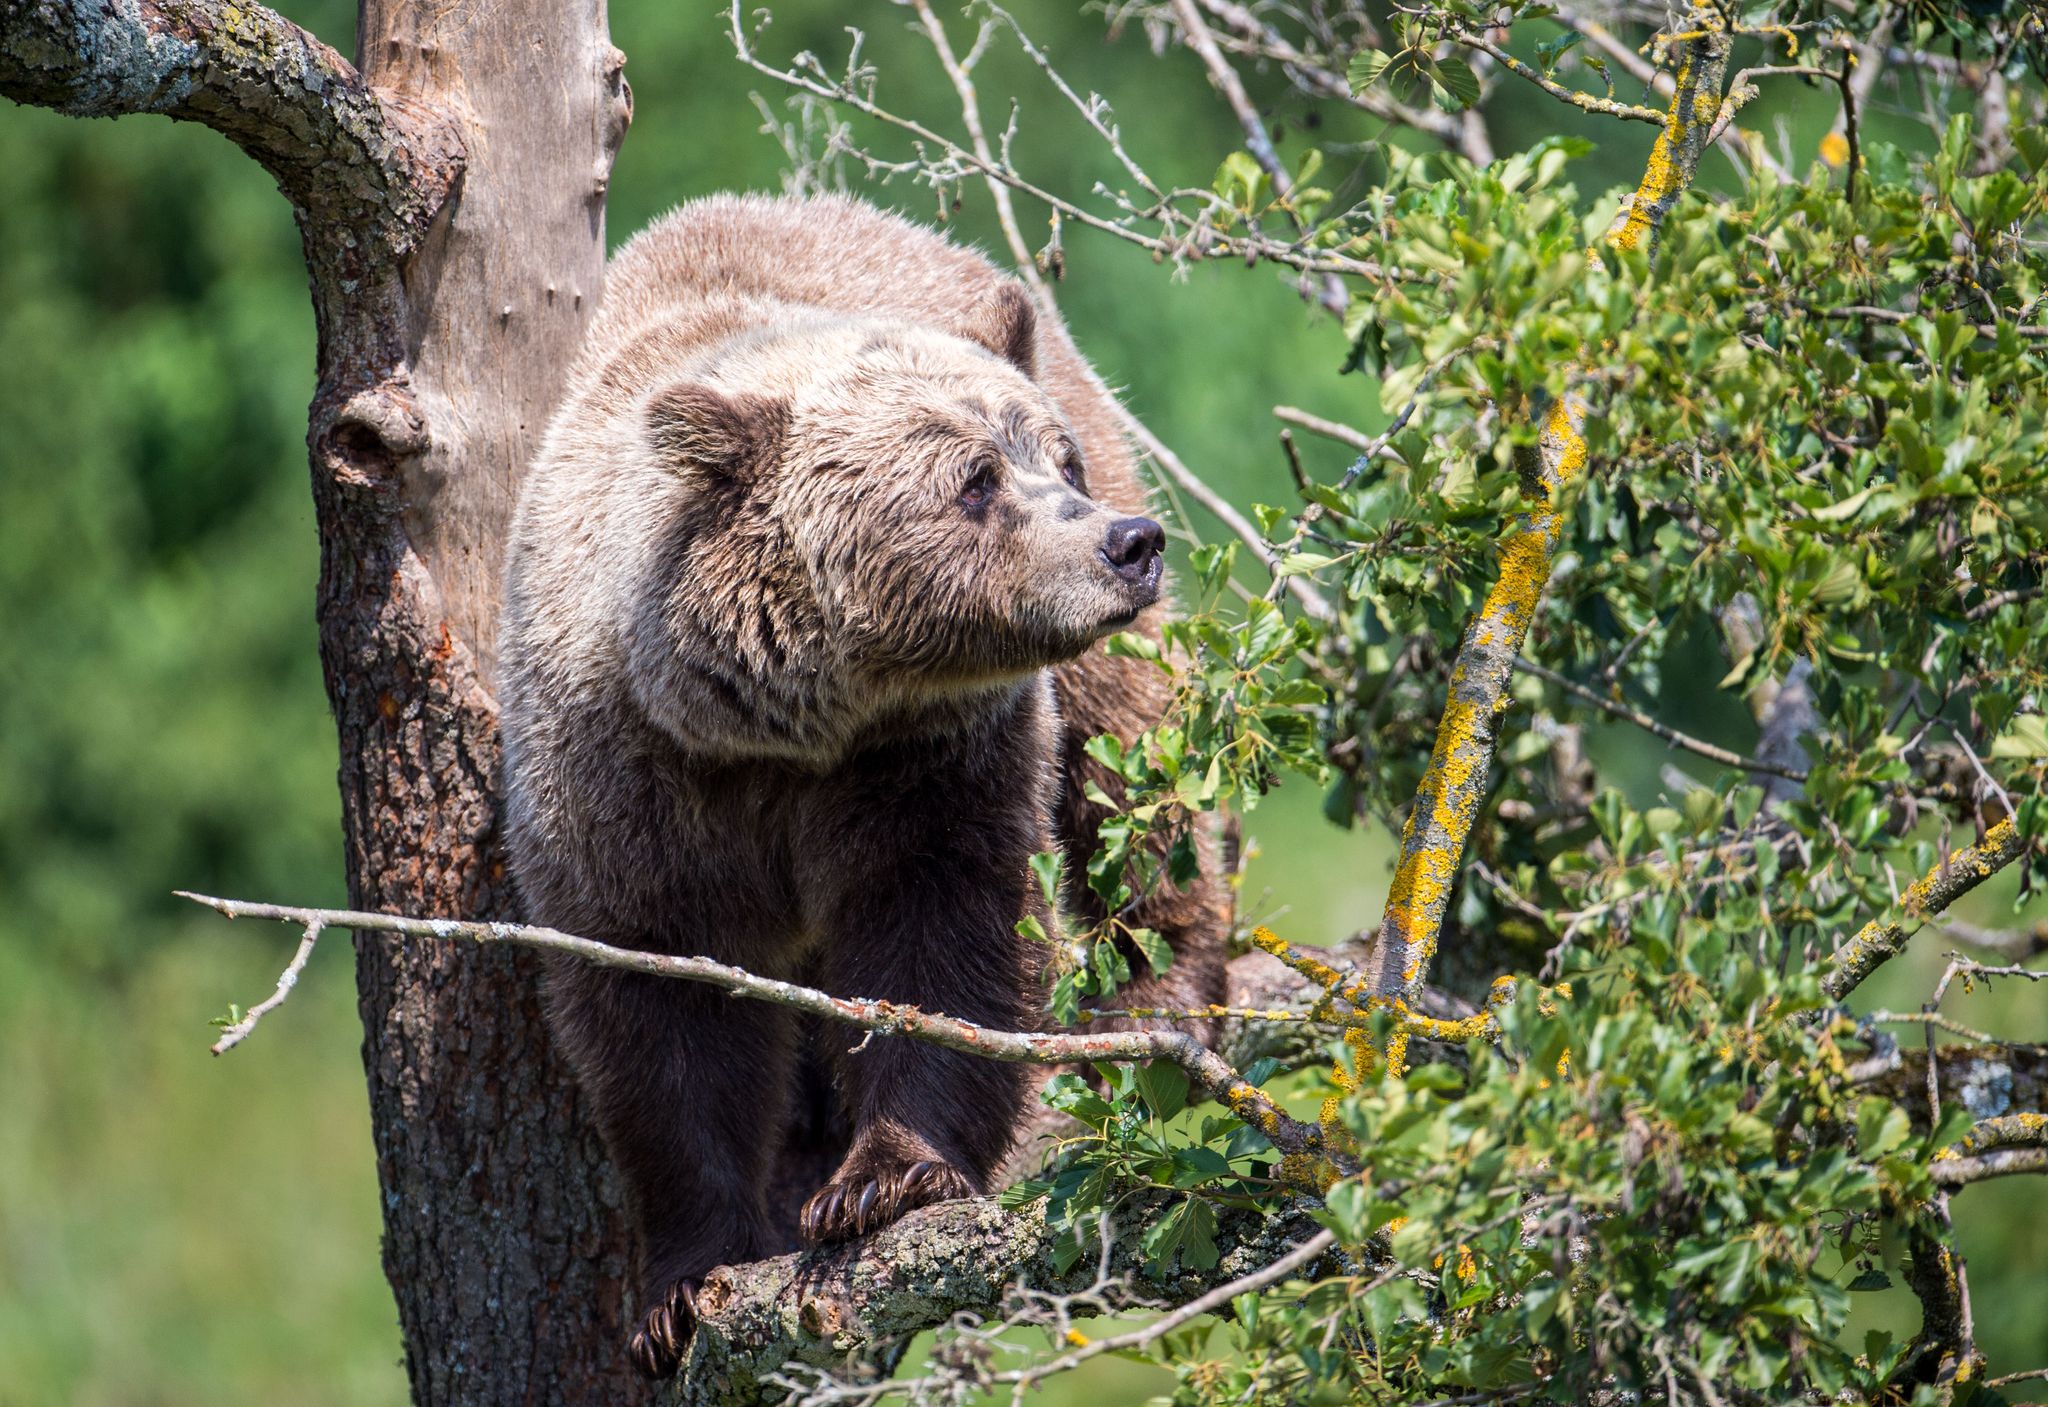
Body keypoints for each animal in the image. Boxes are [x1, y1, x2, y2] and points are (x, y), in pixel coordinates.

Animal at [501, 192, 1220, 1384]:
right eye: (974, 480)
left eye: (1053, 460)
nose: (1127, 543)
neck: (788, 721)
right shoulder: (627, 782)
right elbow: (660, 1010)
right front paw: (682, 1282)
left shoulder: (927, 761)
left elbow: (943, 934)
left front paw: (885, 1178)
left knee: (1133, 771)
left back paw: (1160, 991)